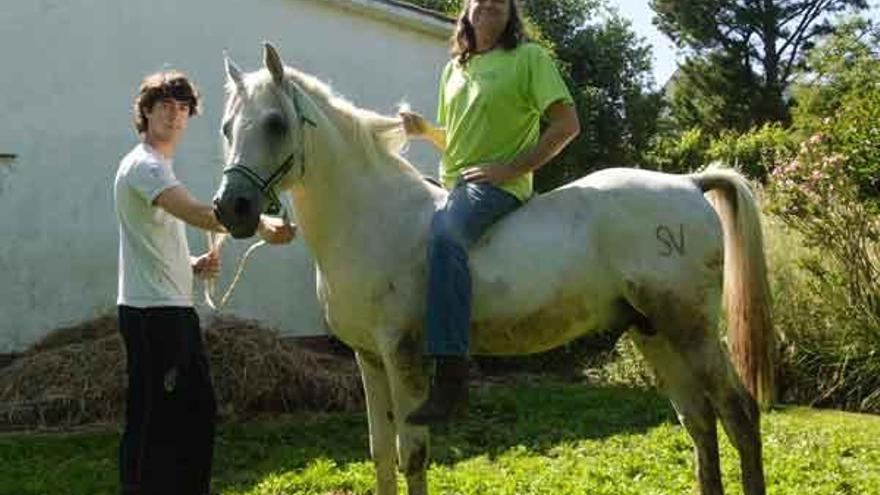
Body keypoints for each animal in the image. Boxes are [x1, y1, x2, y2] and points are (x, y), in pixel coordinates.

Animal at [211, 43, 768, 495]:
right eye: (226, 128)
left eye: (276, 123)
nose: (230, 208)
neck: (373, 216)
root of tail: (689, 182)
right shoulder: (368, 358)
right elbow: (381, 454)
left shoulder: (400, 354)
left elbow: (412, 455)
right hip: (652, 331)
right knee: (699, 421)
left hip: (691, 327)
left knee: (738, 414)